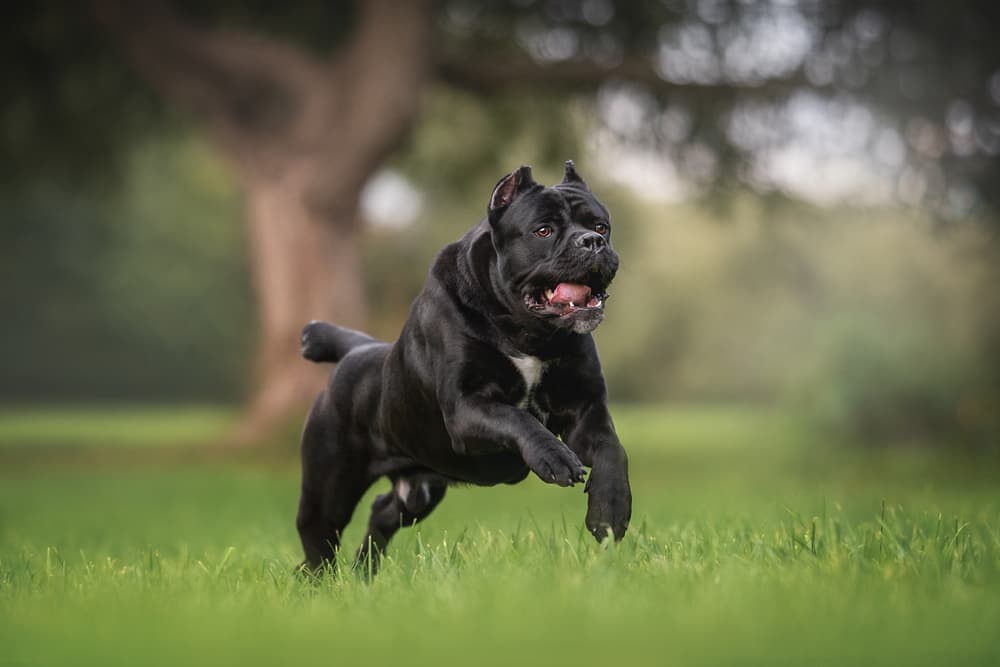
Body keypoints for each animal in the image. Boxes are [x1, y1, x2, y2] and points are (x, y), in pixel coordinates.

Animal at [294, 162, 632, 576]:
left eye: (601, 226)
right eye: (544, 230)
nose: (592, 242)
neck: (528, 334)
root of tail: (357, 350)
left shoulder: (585, 409)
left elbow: (612, 450)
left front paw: (610, 511)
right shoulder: (467, 406)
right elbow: (518, 418)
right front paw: (555, 458)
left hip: (420, 490)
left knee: (384, 511)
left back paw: (365, 572)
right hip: (329, 487)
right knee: (318, 537)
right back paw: (321, 579)